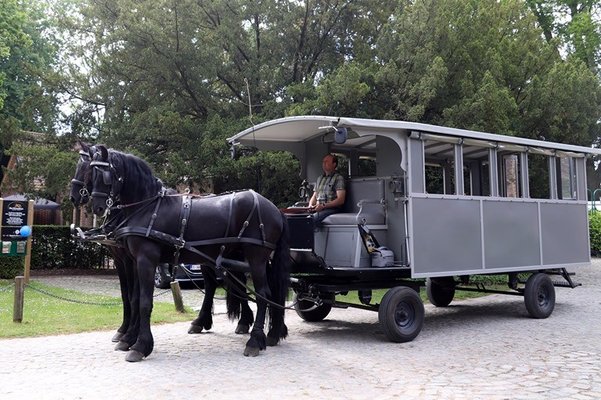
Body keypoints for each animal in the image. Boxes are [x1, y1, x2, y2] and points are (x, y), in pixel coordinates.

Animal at [87, 145, 290, 360]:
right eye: (91, 173)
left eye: (104, 175)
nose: (97, 208)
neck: (148, 207)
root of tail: (275, 210)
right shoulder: (133, 260)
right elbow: (134, 299)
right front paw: (128, 339)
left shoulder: (146, 260)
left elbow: (144, 302)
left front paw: (140, 346)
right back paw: (272, 332)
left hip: (256, 258)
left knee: (262, 294)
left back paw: (255, 340)